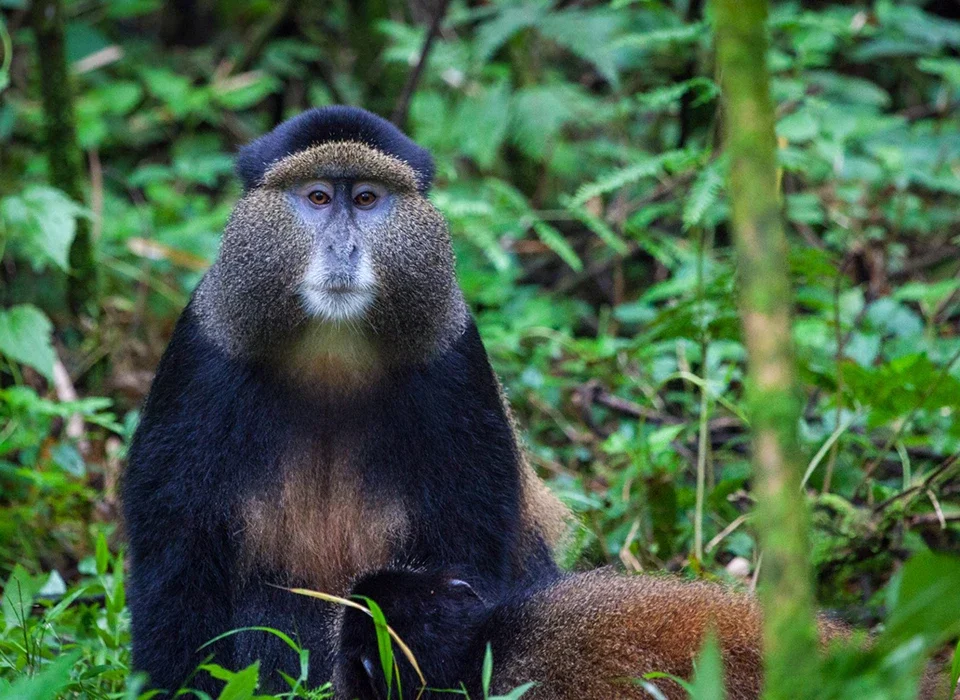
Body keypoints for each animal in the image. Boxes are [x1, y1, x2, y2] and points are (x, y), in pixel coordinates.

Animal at [123, 106, 570, 695]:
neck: (330, 348)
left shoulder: (456, 362)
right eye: (317, 197)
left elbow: (467, 548)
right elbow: (175, 561)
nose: (344, 249)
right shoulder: (199, 356)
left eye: (365, 199)